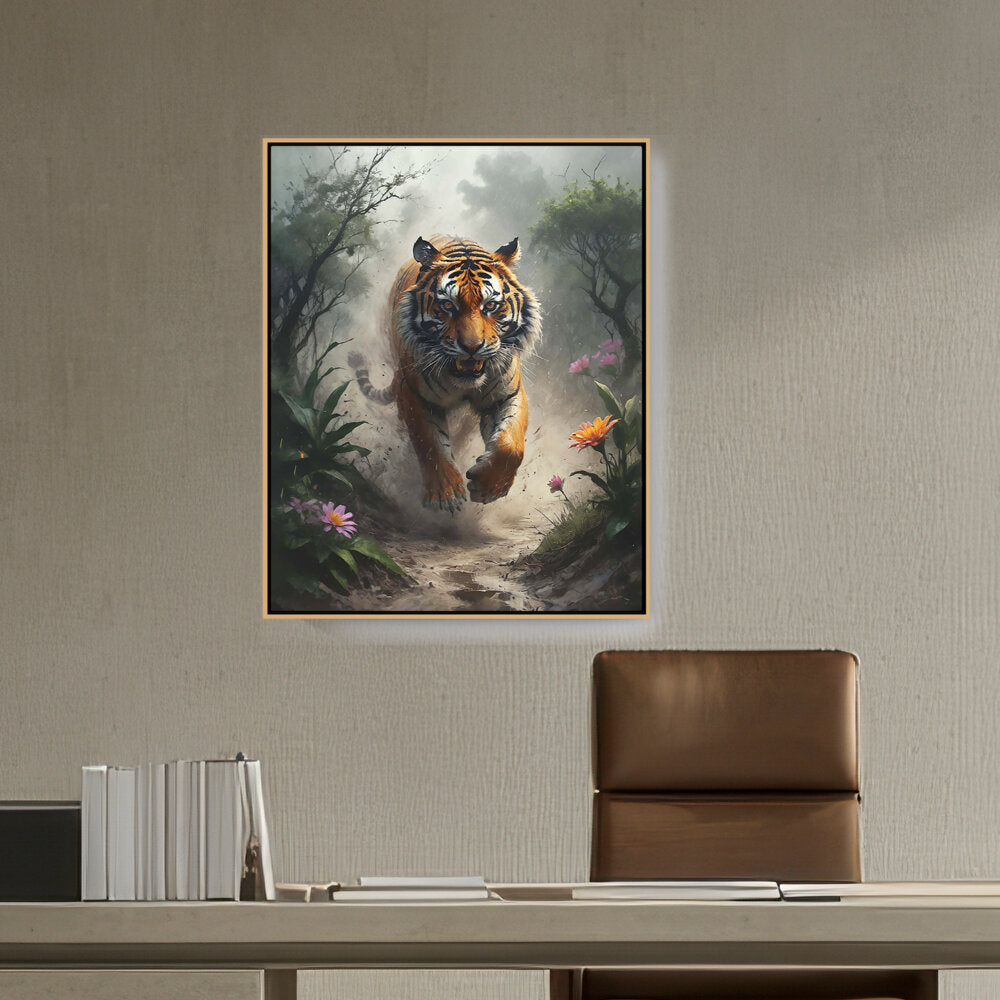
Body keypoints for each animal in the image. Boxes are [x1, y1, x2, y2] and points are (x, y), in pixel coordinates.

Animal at [350, 235, 541, 512]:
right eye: (448, 305)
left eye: (491, 305)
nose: (472, 347)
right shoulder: (415, 395)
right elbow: (429, 442)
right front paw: (445, 494)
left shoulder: (506, 395)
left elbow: (511, 445)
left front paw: (489, 487)